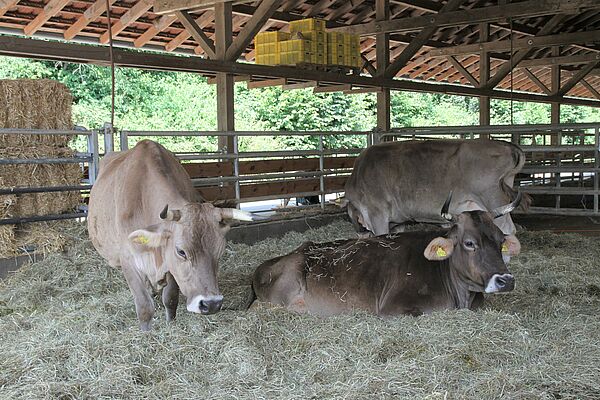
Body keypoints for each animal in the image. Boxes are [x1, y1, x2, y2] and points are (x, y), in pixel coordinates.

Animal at [88, 139, 258, 330]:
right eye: (181, 251)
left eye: (220, 252)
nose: (212, 304)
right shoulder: (129, 260)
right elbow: (144, 307)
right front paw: (146, 332)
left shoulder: (170, 266)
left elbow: (170, 298)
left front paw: (170, 322)